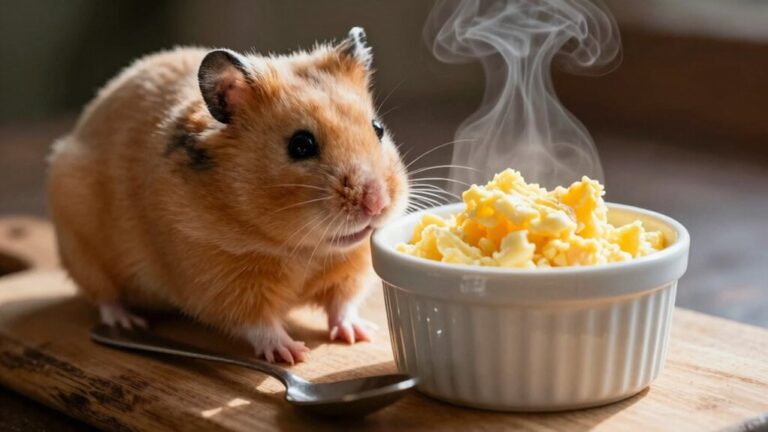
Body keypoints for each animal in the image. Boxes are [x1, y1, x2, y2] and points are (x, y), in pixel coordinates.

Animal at [47, 27, 409, 364]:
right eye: (301, 145)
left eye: (378, 128)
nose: (377, 203)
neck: (303, 249)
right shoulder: (219, 277)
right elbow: (257, 322)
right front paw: (293, 354)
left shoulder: (350, 266)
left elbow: (343, 303)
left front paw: (360, 334)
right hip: (81, 244)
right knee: (104, 296)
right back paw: (127, 323)